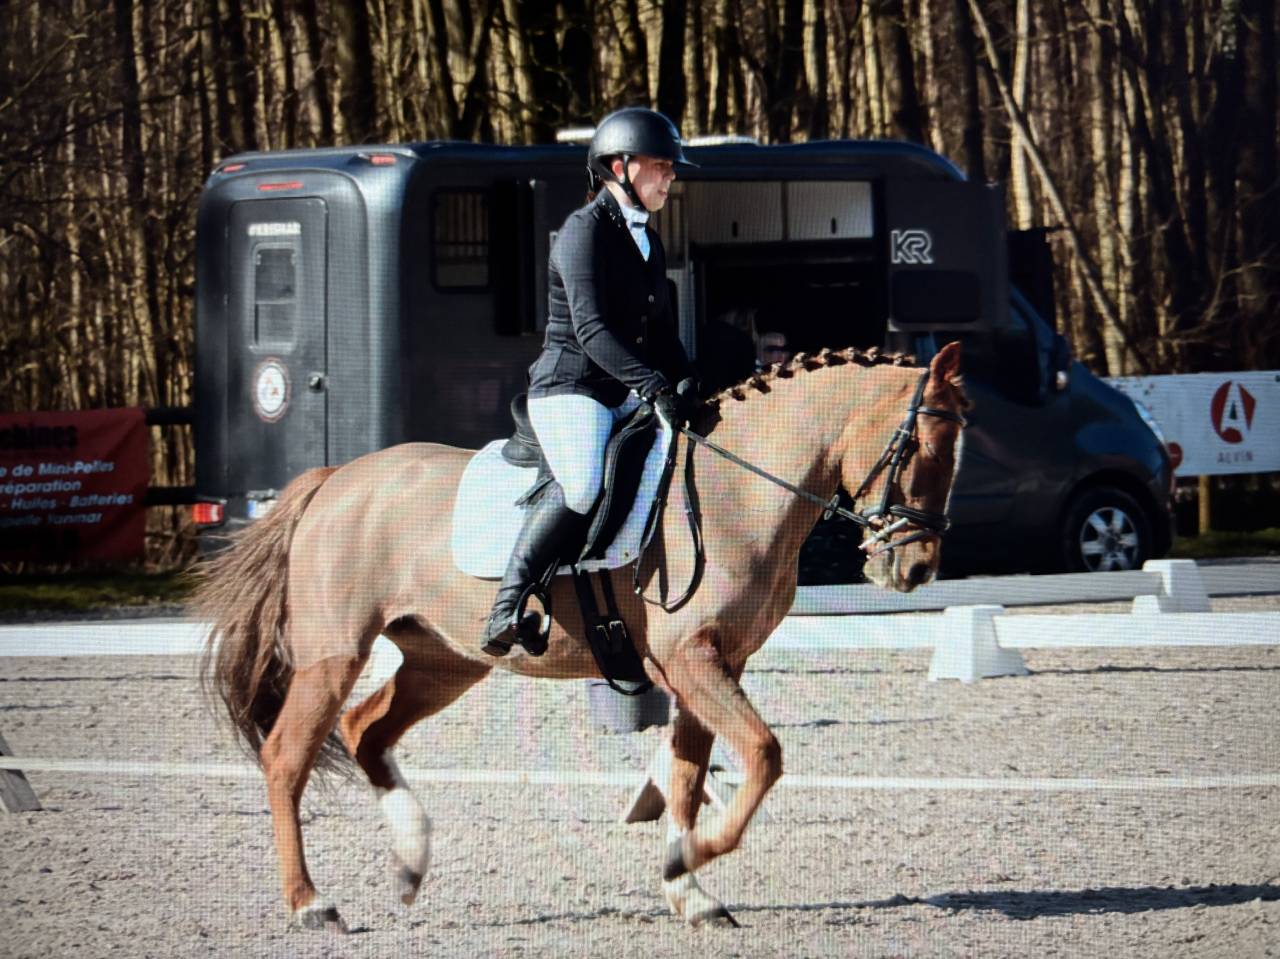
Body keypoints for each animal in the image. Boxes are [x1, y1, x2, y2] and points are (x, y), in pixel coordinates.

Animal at [196, 341, 968, 931]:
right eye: (922, 448)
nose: (916, 568)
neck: (738, 491)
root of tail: (335, 480)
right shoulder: (690, 659)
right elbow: (763, 754)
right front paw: (694, 858)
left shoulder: (716, 663)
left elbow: (687, 776)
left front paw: (687, 885)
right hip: (335, 655)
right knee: (287, 757)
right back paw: (311, 904)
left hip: (443, 661)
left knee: (366, 729)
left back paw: (411, 863)